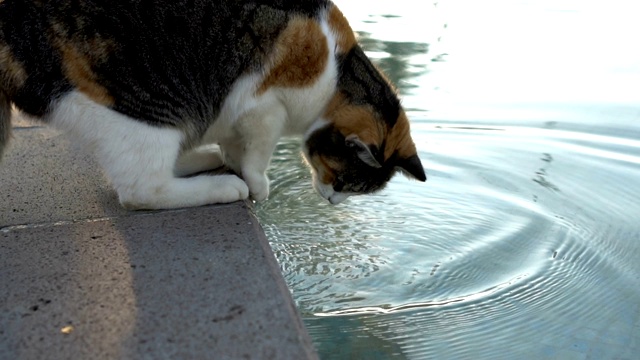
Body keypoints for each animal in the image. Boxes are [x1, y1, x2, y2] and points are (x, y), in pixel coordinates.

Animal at [2, 0, 428, 210]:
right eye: (340, 181)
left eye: (349, 189)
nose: (333, 202)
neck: (336, 73)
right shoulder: (264, 106)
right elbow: (258, 153)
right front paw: (257, 186)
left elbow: (234, 142)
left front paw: (230, 156)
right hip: (143, 108)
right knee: (141, 189)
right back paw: (223, 187)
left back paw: (204, 159)